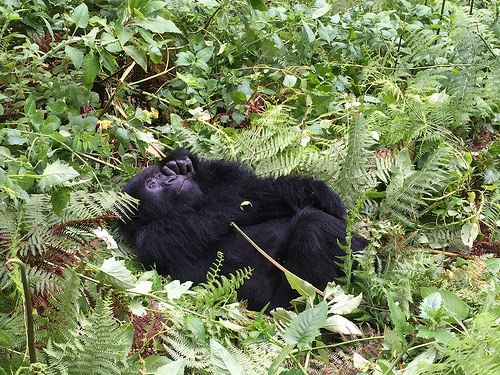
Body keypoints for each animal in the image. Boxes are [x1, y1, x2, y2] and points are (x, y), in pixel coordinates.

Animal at [119, 149, 366, 312]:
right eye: (152, 185)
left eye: (160, 177)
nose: (171, 179)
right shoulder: (161, 234)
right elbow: (238, 201)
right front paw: (308, 188)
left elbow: (235, 181)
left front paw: (180, 162)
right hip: (286, 304)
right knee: (311, 226)